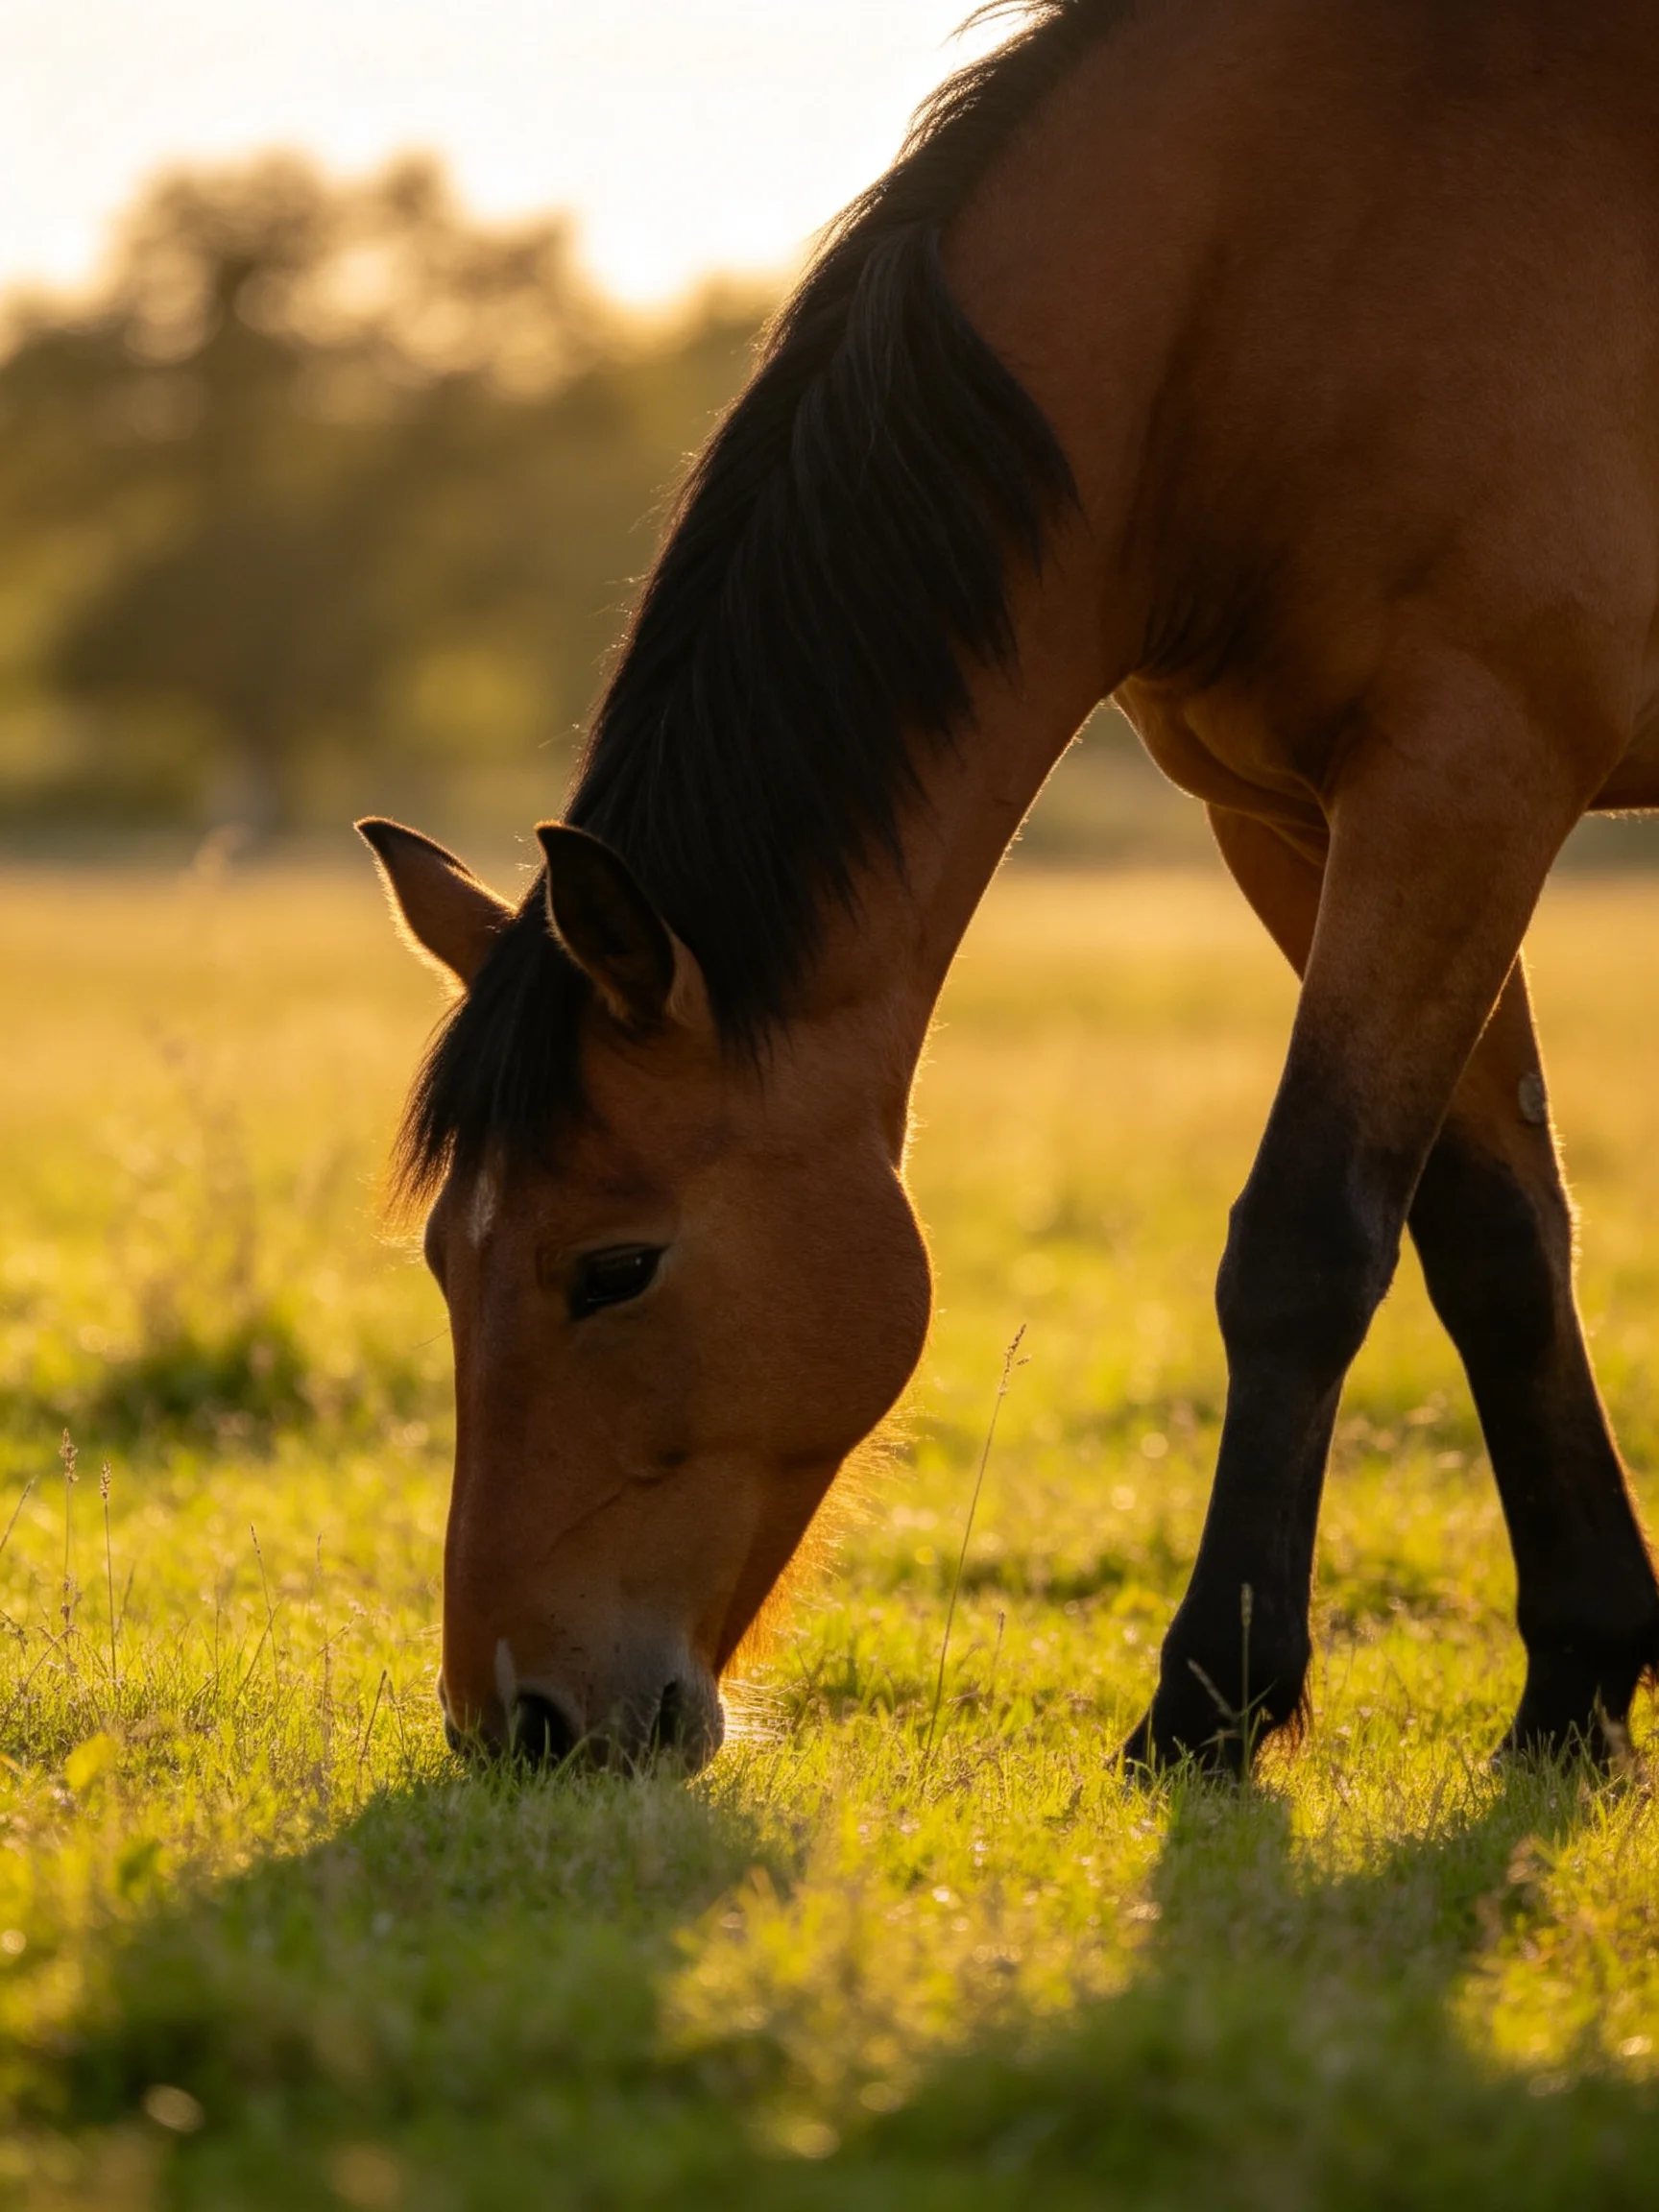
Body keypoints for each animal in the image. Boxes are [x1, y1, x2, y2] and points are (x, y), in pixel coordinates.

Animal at [361, 0, 1659, 1776]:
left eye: (611, 1268)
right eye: (442, 1262)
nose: (521, 1722)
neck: (1280, 261)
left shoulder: (1465, 772)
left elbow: (1306, 1240)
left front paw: (1207, 1701)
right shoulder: (1306, 817)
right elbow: (1495, 1238)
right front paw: (1578, 1680)